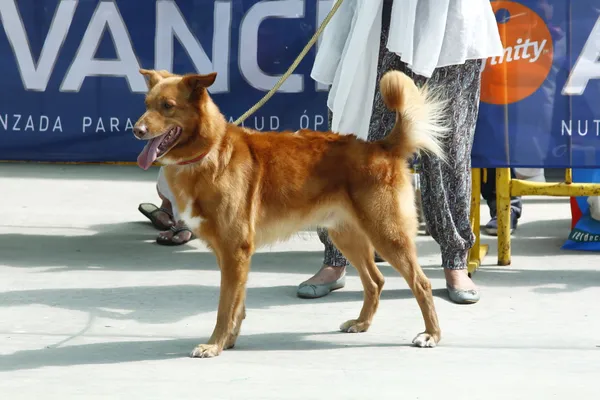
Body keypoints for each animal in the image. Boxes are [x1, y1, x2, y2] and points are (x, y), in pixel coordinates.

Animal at [134, 67, 448, 358]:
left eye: (168, 106)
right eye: (146, 104)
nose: (136, 130)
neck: (210, 152)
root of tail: (381, 147)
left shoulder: (234, 251)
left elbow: (225, 307)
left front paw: (214, 344)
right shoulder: (229, 255)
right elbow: (237, 304)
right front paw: (230, 340)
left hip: (387, 235)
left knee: (421, 284)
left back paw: (431, 335)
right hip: (347, 237)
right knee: (375, 281)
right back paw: (361, 323)